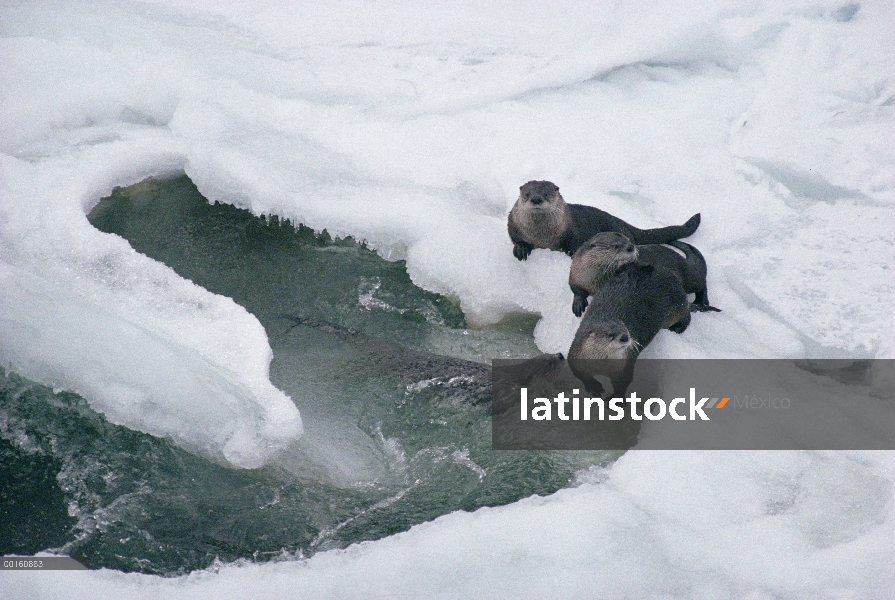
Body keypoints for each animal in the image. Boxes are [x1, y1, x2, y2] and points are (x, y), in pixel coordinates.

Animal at [508, 180, 704, 260]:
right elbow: (515, 237)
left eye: (547, 194)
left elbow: (575, 243)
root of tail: (624, 225)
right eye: (527, 194)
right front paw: (521, 248)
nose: (536, 199)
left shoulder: (572, 229)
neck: (542, 236)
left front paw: (571, 254)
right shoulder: (513, 223)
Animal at [572, 230, 724, 316]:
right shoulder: (575, 274)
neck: (593, 278)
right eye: (615, 246)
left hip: (687, 275)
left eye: (628, 240)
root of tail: (682, 259)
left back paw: (703, 302)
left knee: (701, 281)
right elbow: (576, 290)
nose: (631, 247)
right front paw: (578, 303)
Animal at [572, 262, 688, 394]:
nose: (625, 337)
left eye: (626, 329)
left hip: (675, 304)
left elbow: (623, 384)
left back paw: (679, 327)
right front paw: (593, 387)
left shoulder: (624, 367)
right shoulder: (576, 356)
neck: (600, 366)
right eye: (610, 334)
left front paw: (615, 398)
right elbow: (580, 375)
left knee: (686, 311)